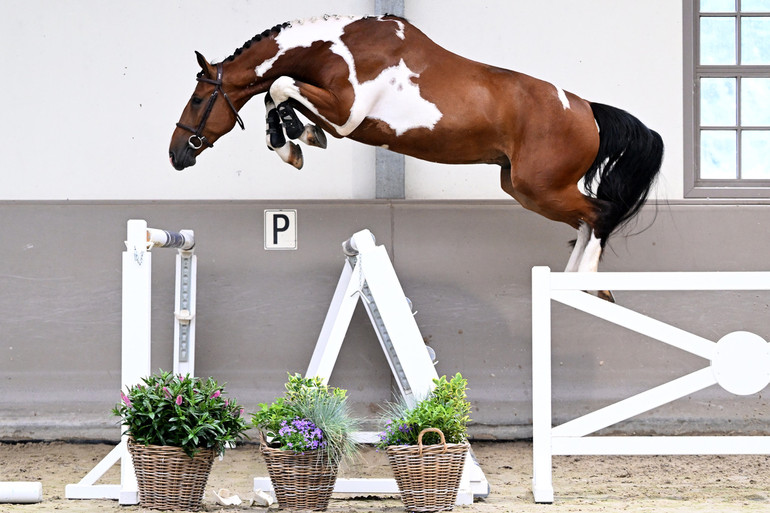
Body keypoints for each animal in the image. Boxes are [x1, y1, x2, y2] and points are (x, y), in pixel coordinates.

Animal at [168, 15, 660, 300]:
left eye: (197, 100)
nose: (176, 154)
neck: (335, 47)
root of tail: (587, 110)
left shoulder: (347, 115)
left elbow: (279, 84)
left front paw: (294, 139)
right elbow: (277, 92)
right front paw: (293, 137)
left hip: (540, 186)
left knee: (599, 213)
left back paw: (588, 282)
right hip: (524, 188)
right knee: (586, 221)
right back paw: (574, 283)